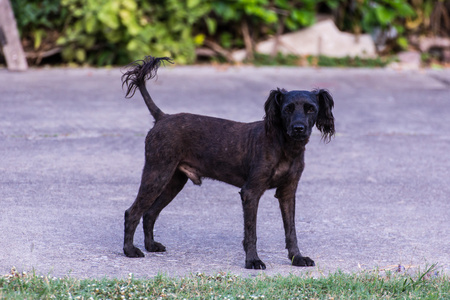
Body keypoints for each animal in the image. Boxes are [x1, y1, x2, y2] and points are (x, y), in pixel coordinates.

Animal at [120, 56, 334, 270]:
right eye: (287, 109)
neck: (285, 146)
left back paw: (150, 246)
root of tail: (162, 117)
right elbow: (251, 232)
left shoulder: (288, 193)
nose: (299, 128)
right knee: (132, 212)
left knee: (149, 213)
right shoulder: (251, 193)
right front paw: (253, 260)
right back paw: (130, 250)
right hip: (156, 174)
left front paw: (297, 258)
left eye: (311, 109)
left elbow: (291, 231)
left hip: (173, 181)